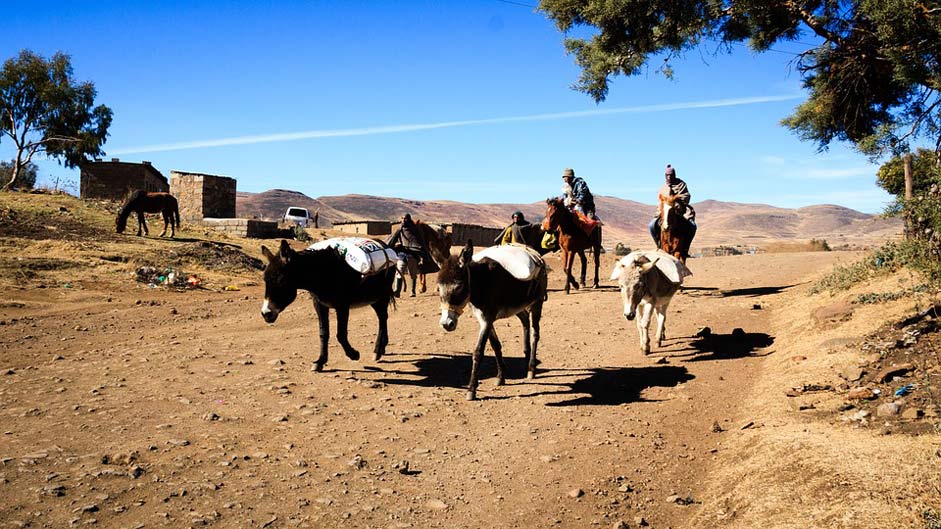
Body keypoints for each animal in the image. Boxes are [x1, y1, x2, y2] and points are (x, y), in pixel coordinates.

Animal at [258, 239, 396, 372]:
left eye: (281, 281)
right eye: (264, 279)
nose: (266, 313)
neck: (324, 273)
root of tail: (385, 245)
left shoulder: (342, 306)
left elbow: (341, 334)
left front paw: (353, 354)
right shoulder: (319, 305)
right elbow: (323, 333)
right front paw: (320, 361)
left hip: (381, 295)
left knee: (383, 318)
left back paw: (377, 351)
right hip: (373, 299)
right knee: (382, 317)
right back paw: (382, 348)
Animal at [436, 241, 548, 398]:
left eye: (458, 287)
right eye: (438, 288)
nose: (446, 324)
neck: (482, 284)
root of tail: (533, 252)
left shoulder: (487, 320)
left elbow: (478, 352)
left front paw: (471, 389)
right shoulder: (484, 319)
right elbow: (496, 345)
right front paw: (501, 377)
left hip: (537, 302)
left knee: (535, 333)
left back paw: (531, 368)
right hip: (518, 307)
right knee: (525, 320)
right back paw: (526, 356)